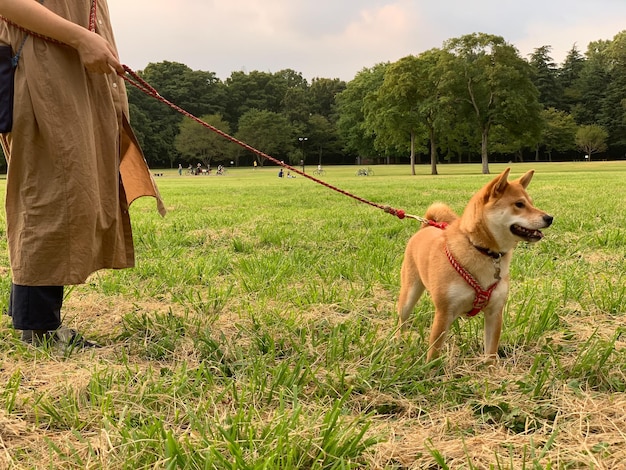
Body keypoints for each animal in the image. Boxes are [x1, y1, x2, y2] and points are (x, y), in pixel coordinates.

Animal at [394, 169, 552, 364]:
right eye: (519, 204)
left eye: (531, 203)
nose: (549, 218)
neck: (482, 250)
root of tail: (425, 228)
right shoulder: (444, 313)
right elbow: (434, 352)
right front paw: (430, 370)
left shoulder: (494, 312)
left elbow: (490, 352)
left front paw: (490, 370)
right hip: (409, 295)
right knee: (402, 320)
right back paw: (398, 342)